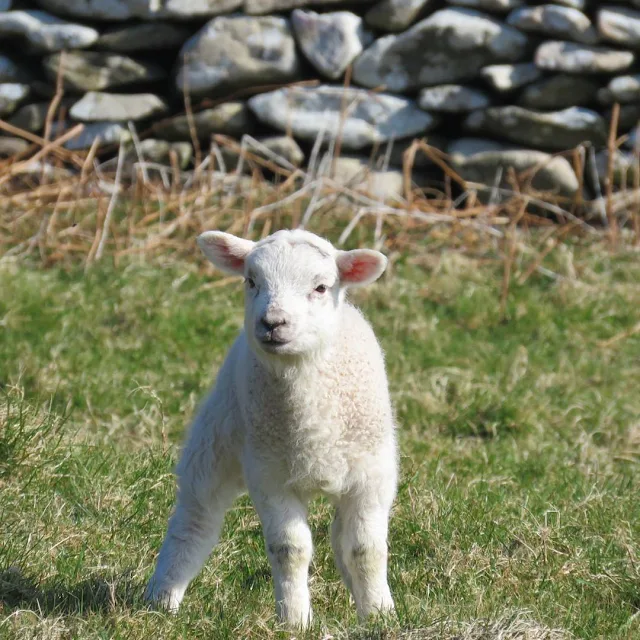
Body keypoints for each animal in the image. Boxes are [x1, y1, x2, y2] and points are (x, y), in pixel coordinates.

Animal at [144, 228, 400, 628]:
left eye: (321, 287)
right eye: (251, 281)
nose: (272, 323)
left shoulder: (372, 478)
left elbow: (365, 549)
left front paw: (378, 614)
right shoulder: (270, 476)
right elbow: (289, 550)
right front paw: (295, 619)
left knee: (341, 536)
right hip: (215, 439)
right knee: (194, 521)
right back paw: (162, 600)